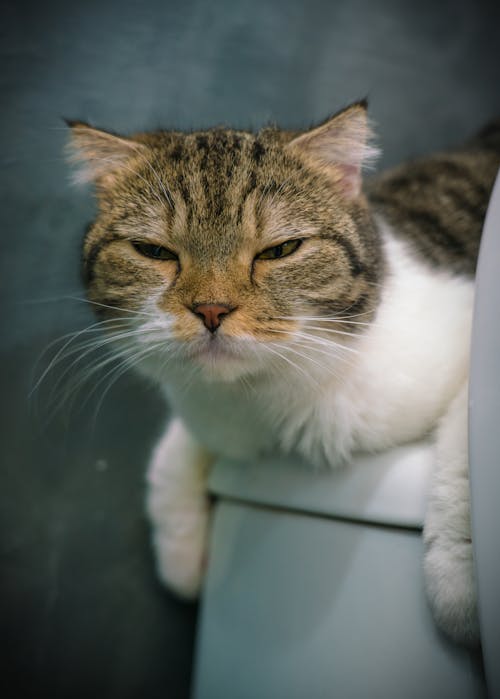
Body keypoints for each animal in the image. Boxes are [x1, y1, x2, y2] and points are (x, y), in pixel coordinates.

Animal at [67, 105, 500, 652]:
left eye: (281, 250)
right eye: (154, 251)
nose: (212, 309)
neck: (265, 402)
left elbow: (468, 445)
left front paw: (460, 583)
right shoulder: (207, 414)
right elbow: (172, 451)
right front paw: (181, 558)